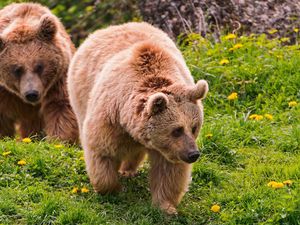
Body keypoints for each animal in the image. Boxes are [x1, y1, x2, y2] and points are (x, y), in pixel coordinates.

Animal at [0, 3, 78, 142]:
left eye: (39, 66)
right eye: (17, 70)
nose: (32, 93)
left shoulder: (58, 79)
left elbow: (61, 107)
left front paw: (59, 140)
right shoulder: (4, 91)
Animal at [67, 22, 209, 214]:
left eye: (194, 127)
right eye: (177, 130)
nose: (193, 154)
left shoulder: (168, 149)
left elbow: (169, 171)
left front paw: (166, 207)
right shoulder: (110, 118)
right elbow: (102, 150)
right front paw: (111, 189)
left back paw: (129, 169)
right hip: (81, 93)